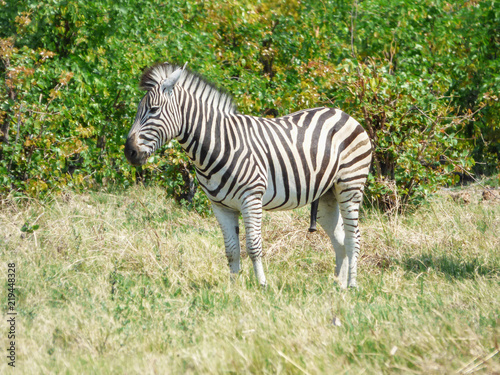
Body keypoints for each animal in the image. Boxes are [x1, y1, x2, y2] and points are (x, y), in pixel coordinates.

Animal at [126, 63, 372, 290]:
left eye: (154, 110)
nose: (129, 151)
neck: (218, 144)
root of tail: (342, 113)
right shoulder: (220, 206)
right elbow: (231, 250)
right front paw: (234, 289)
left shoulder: (251, 198)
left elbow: (253, 246)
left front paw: (262, 284)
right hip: (328, 196)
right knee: (339, 240)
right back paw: (338, 286)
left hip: (350, 186)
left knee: (353, 237)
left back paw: (352, 285)